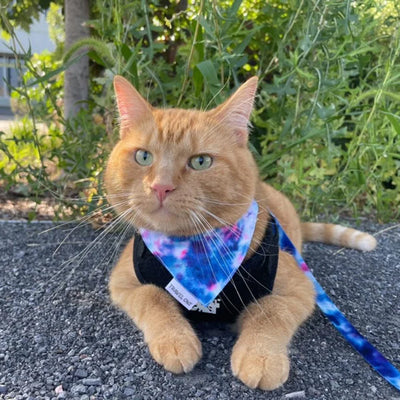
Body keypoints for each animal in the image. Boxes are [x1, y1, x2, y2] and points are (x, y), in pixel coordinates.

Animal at [104, 76, 376, 390]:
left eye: (201, 162)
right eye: (143, 156)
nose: (161, 186)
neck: (193, 253)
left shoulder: (300, 288)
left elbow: (270, 311)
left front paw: (261, 356)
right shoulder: (124, 281)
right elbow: (154, 297)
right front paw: (176, 340)